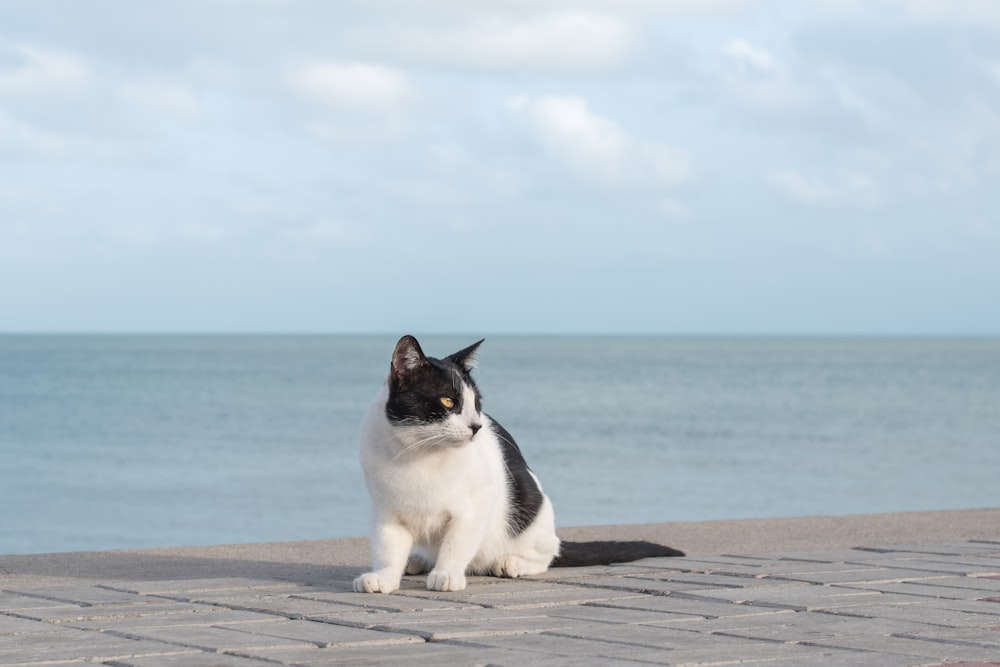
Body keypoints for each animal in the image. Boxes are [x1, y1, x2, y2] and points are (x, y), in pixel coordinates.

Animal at [350, 334, 680, 596]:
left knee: (548, 551)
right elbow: (387, 547)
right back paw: (416, 561)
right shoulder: (387, 511)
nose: (476, 426)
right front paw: (384, 577)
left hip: (531, 508)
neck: (419, 454)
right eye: (447, 402)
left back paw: (511, 562)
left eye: (477, 404)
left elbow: (458, 541)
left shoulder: (478, 501)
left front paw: (447, 574)